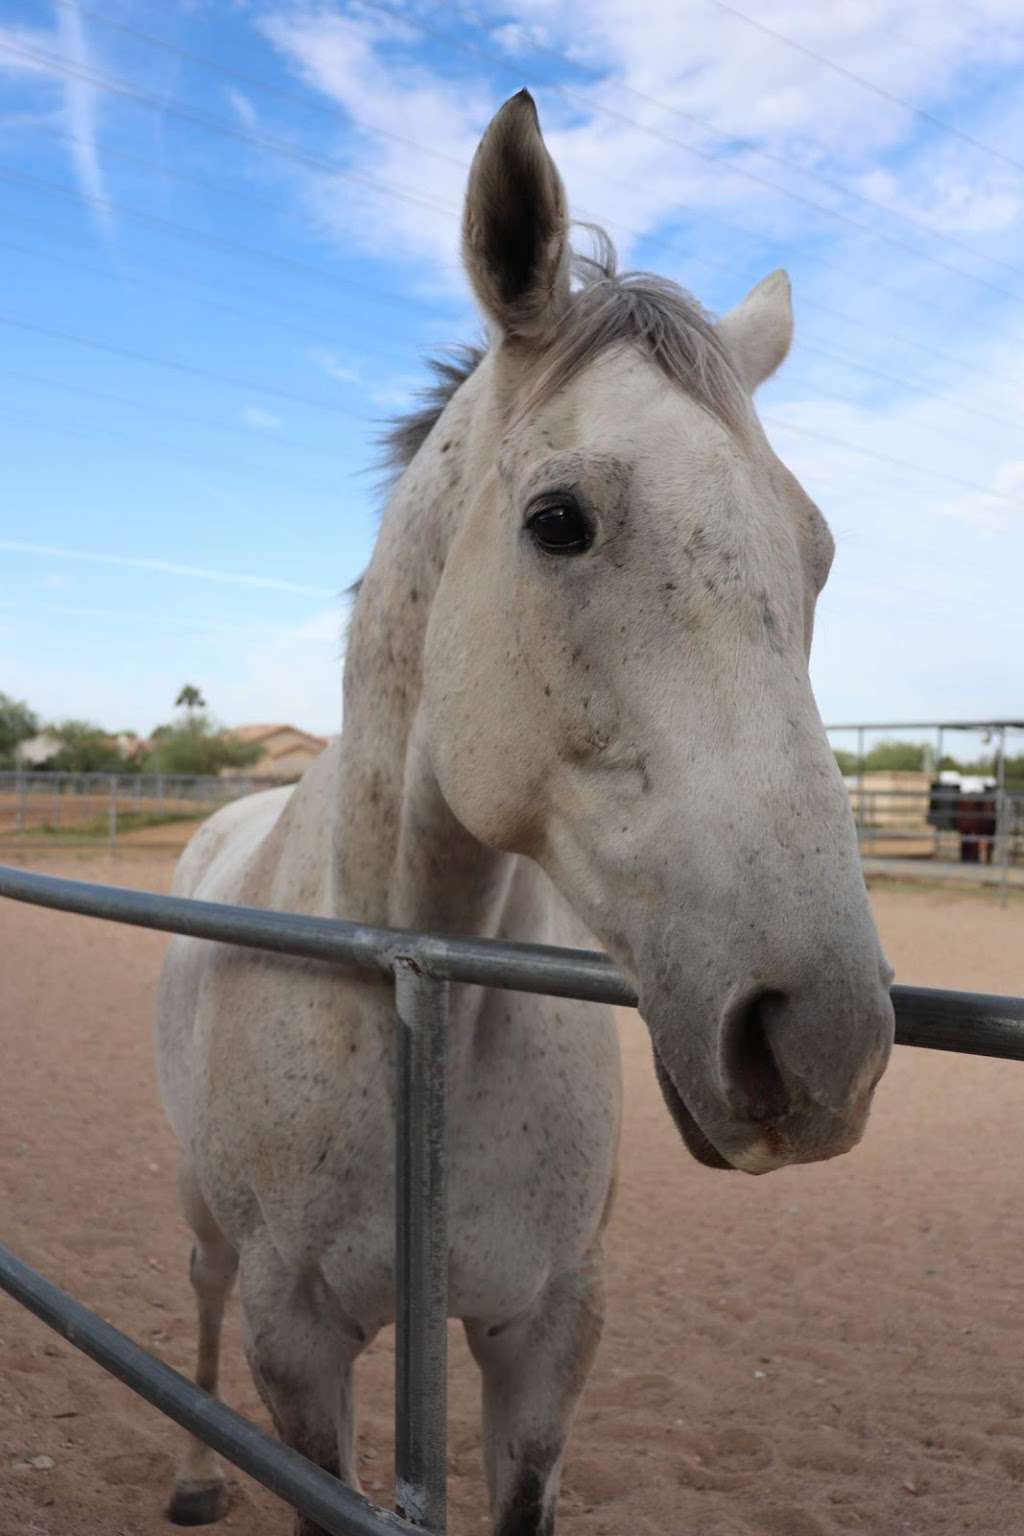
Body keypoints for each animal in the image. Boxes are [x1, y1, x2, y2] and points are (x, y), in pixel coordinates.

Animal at [156, 92, 890, 1536]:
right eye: (558, 522)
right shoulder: (295, 1349)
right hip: (212, 1239)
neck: (405, 983)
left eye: (819, 552)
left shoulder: (546, 1333)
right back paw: (201, 1476)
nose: (823, 1043)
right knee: (197, 1295)